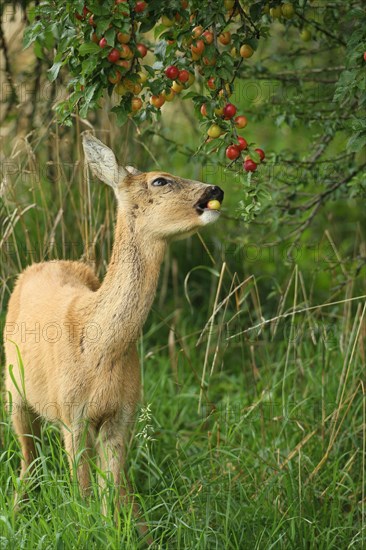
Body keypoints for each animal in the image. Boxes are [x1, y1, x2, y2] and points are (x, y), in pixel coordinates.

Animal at [4, 135, 224, 544]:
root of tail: (40, 264)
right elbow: (84, 491)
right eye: (160, 180)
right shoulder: (71, 415)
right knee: (28, 459)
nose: (215, 189)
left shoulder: (122, 415)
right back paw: (14, 512)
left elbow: (115, 491)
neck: (99, 349)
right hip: (15, 392)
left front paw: (131, 535)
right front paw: (85, 532)